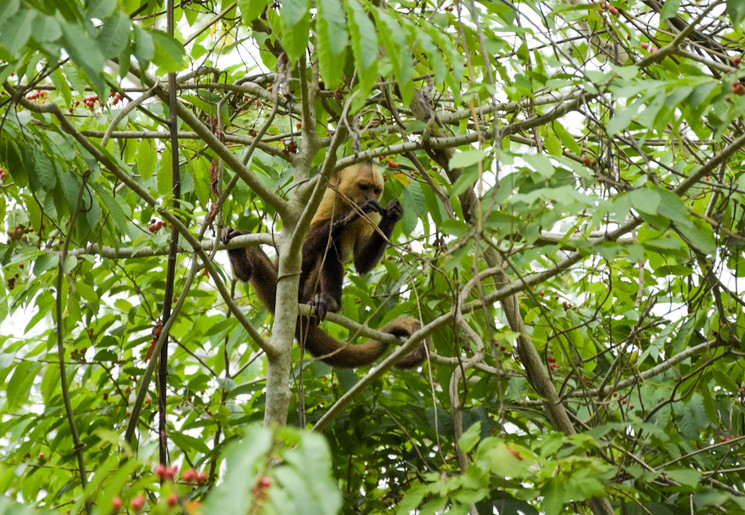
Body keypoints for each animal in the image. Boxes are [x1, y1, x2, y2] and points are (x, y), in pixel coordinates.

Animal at [222, 163, 424, 368]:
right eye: (364, 187)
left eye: (376, 190)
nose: (371, 198)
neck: (346, 199)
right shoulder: (327, 198)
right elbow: (300, 245)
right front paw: (352, 214)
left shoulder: (373, 215)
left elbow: (362, 264)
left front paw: (393, 214)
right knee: (328, 243)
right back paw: (241, 262)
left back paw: (329, 302)